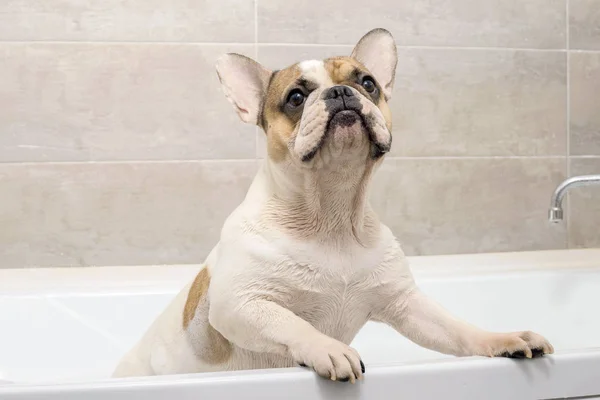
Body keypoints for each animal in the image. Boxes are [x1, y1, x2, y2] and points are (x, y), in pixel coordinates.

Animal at [112, 28, 552, 382]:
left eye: (368, 83)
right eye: (295, 97)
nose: (341, 93)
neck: (331, 212)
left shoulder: (407, 306)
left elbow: (457, 329)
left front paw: (503, 338)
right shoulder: (243, 303)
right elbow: (291, 324)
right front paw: (328, 348)